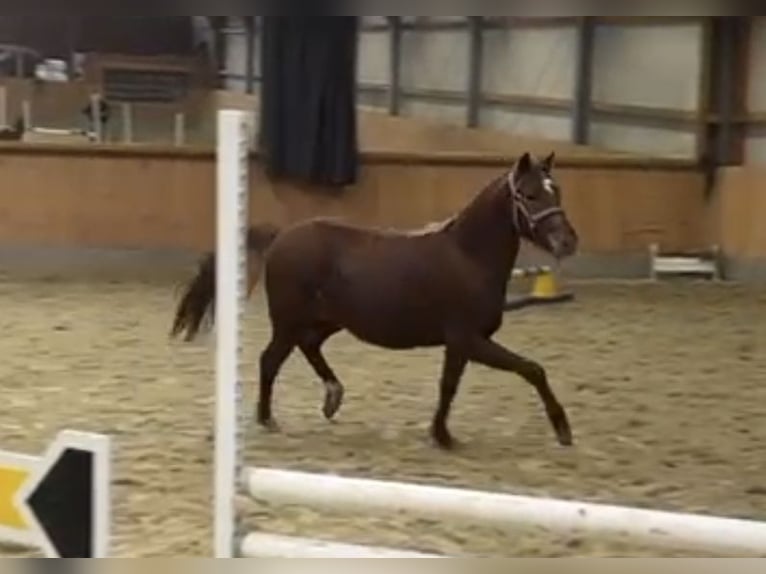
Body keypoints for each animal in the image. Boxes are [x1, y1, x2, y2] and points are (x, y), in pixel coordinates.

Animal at [172, 152, 584, 450]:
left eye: (558, 191)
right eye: (529, 194)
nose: (568, 242)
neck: (468, 256)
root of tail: (280, 236)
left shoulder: (461, 344)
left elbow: (452, 385)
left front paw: (440, 434)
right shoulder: (467, 339)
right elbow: (528, 370)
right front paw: (562, 429)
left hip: (326, 320)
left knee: (308, 346)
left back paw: (332, 397)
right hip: (289, 320)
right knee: (270, 360)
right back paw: (267, 418)